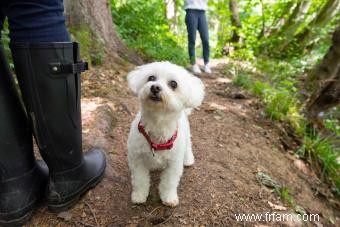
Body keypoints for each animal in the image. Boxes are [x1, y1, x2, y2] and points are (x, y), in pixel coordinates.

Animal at [126, 61, 203, 207]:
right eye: (151, 78)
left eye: (173, 84)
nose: (155, 87)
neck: (158, 123)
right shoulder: (137, 159)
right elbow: (140, 180)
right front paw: (139, 196)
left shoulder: (174, 163)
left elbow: (169, 182)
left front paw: (169, 198)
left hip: (186, 137)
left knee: (188, 147)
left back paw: (188, 160)